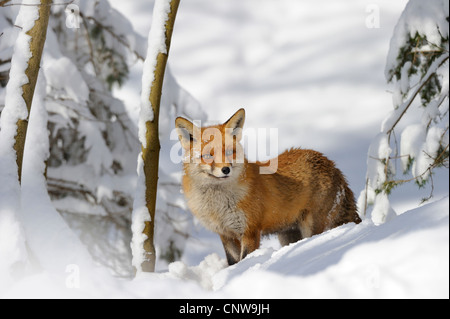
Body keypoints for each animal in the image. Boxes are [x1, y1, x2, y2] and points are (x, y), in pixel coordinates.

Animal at [174, 109, 360, 266]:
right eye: (208, 155)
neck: (218, 205)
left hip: (311, 227)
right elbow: (233, 262)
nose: (226, 169)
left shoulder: (250, 231)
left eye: (229, 152)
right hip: (288, 235)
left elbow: (244, 260)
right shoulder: (226, 234)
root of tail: (331, 164)